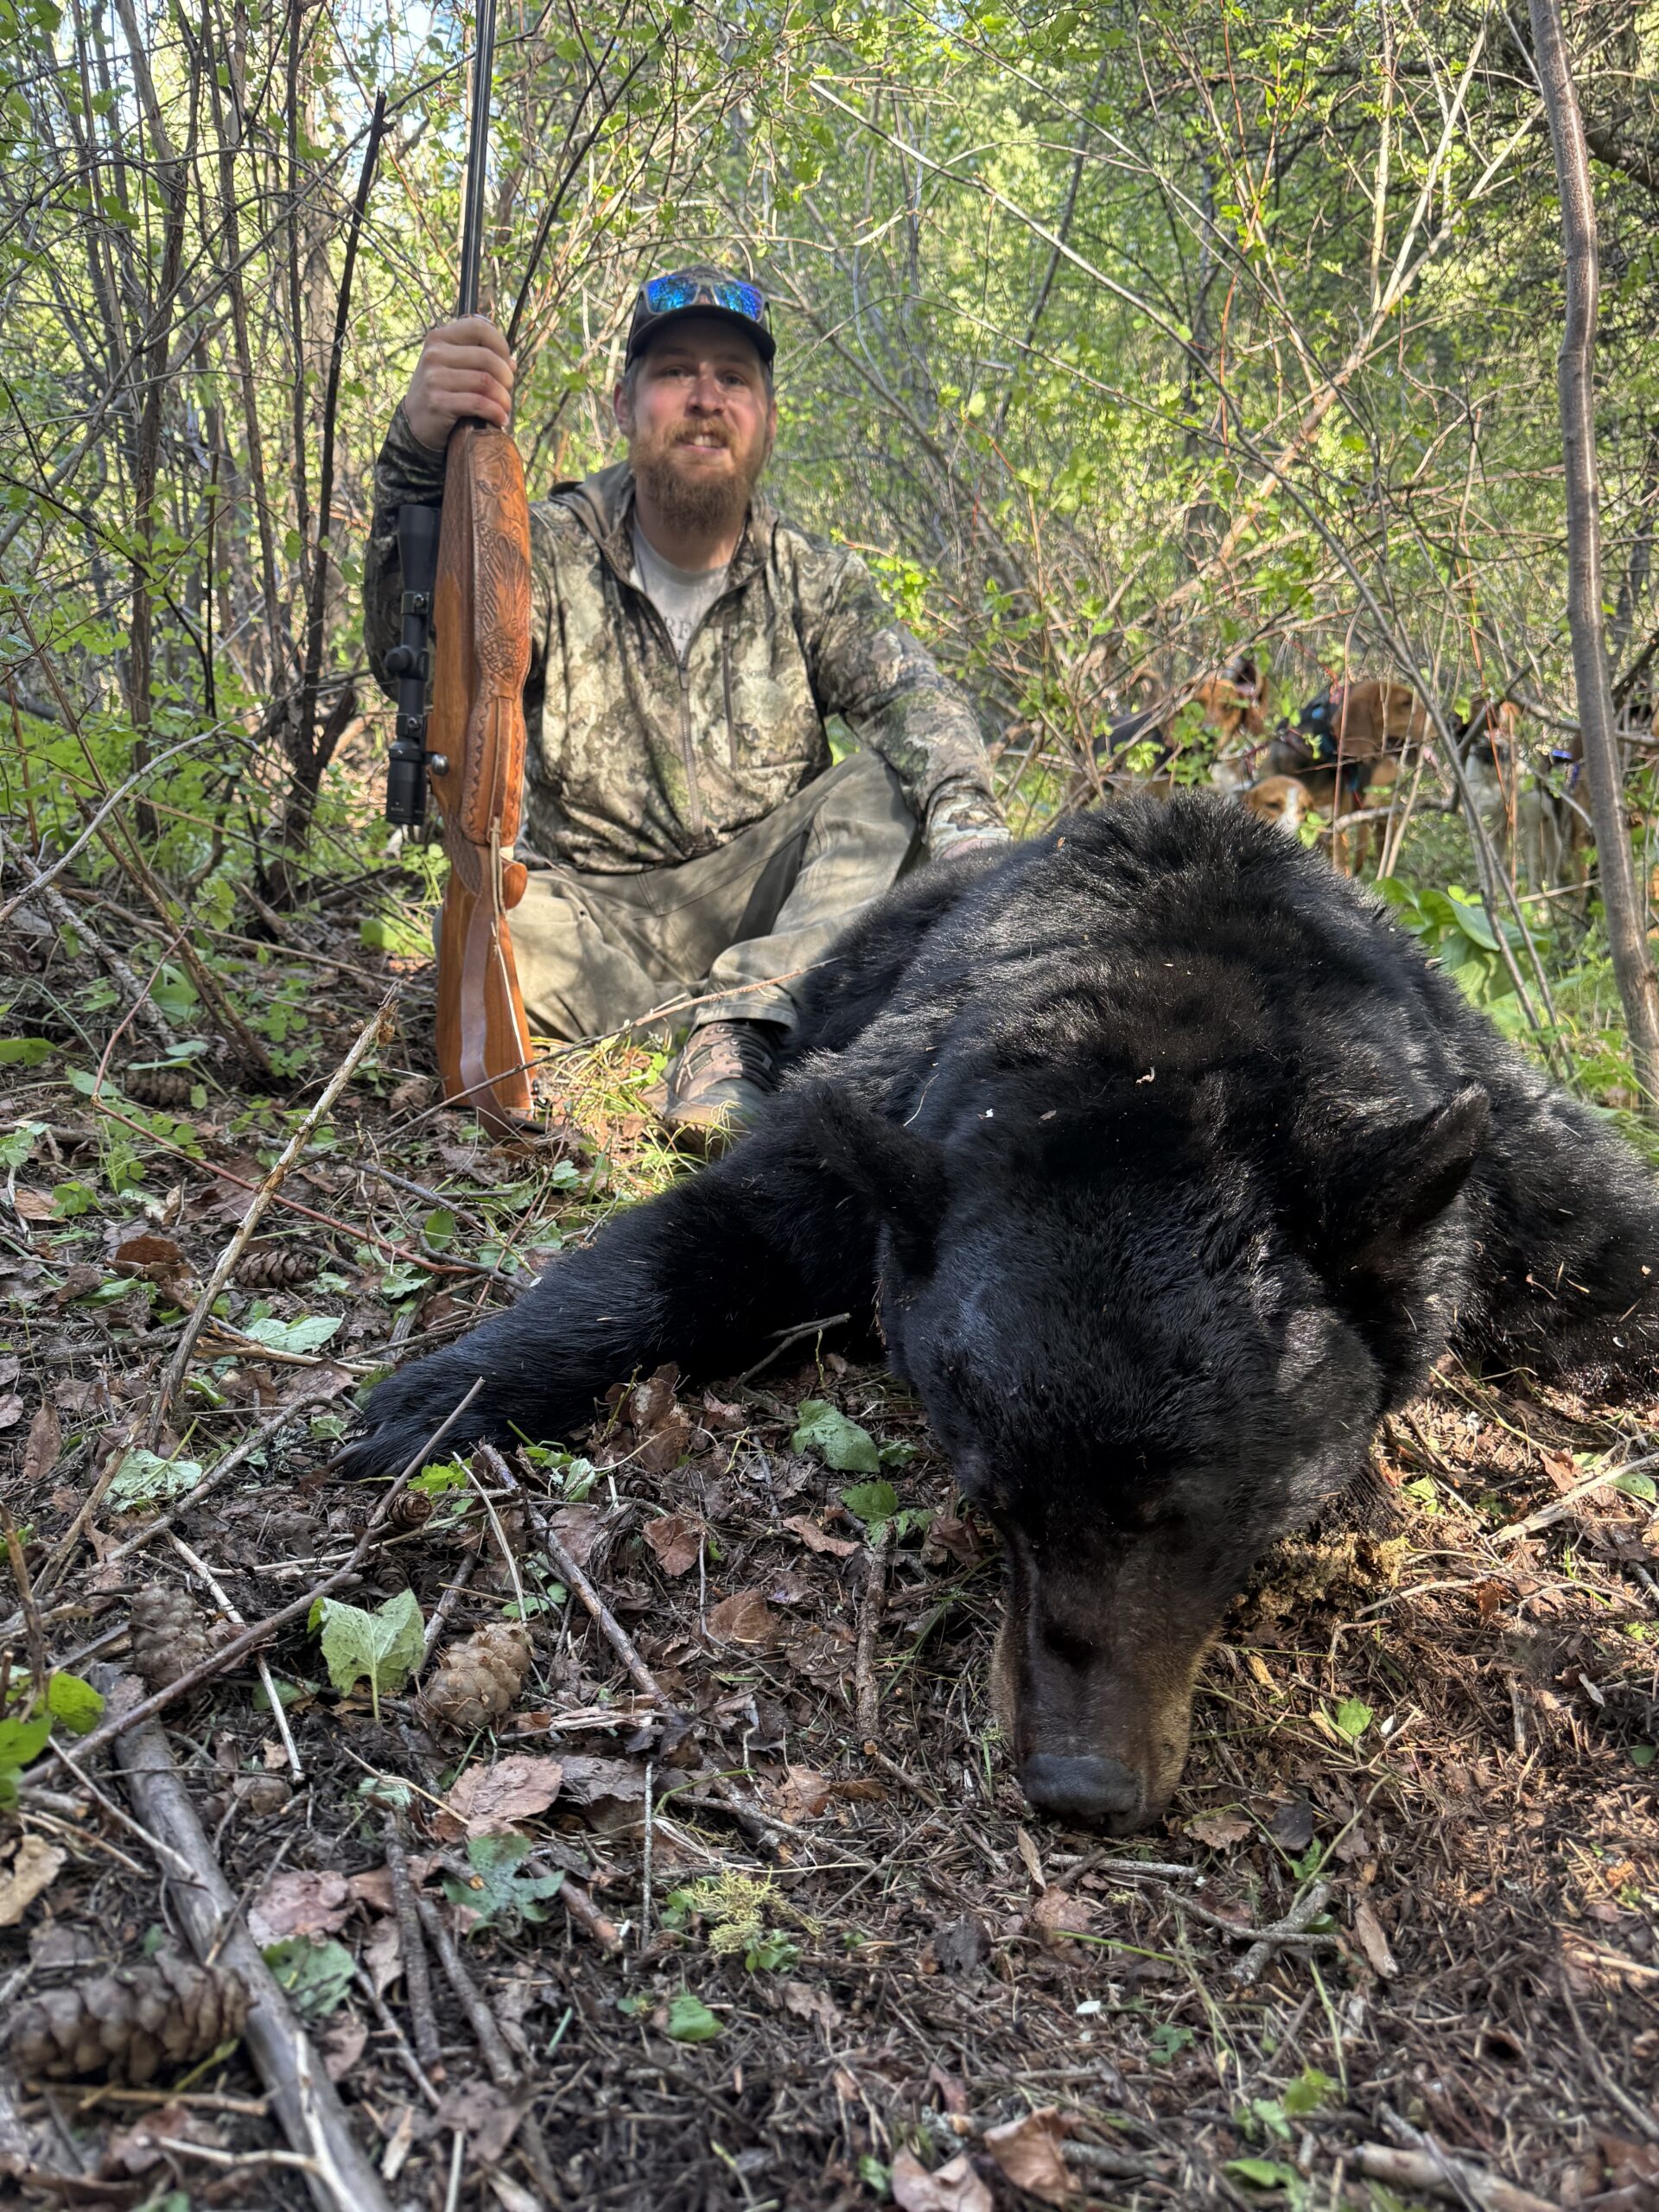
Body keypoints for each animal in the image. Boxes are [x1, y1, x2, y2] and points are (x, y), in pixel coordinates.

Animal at [346, 796, 1659, 1833]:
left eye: (1202, 1510)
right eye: (994, 1496)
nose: (1080, 1785)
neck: (1162, 1024)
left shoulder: (1504, 1151)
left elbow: (1617, 1256)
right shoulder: (888, 1134)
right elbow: (711, 1234)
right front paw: (440, 1394)